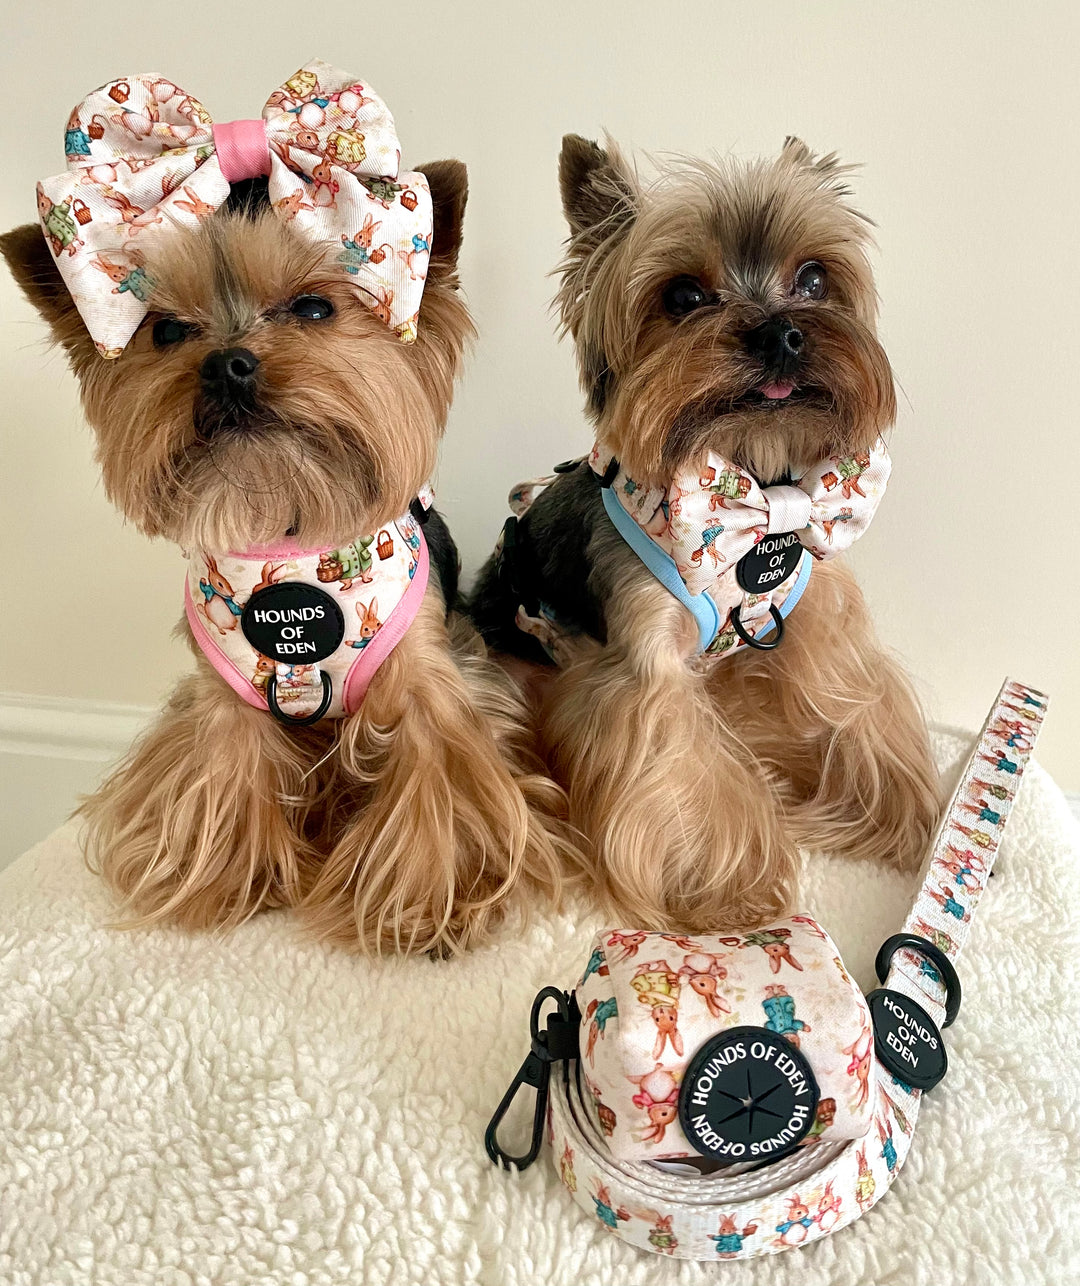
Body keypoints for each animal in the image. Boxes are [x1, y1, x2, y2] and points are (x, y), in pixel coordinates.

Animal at [2, 75, 571, 956]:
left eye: (311, 309)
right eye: (167, 331)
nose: (227, 363)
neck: (287, 531)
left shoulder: (430, 683)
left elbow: (440, 782)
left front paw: (429, 903)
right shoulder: (224, 699)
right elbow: (219, 777)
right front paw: (228, 879)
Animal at [470, 134, 940, 932]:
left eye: (814, 277)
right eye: (685, 297)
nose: (781, 332)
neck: (757, 484)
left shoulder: (816, 611)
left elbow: (858, 707)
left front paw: (900, 815)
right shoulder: (645, 665)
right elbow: (683, 768)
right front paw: (727, 892)